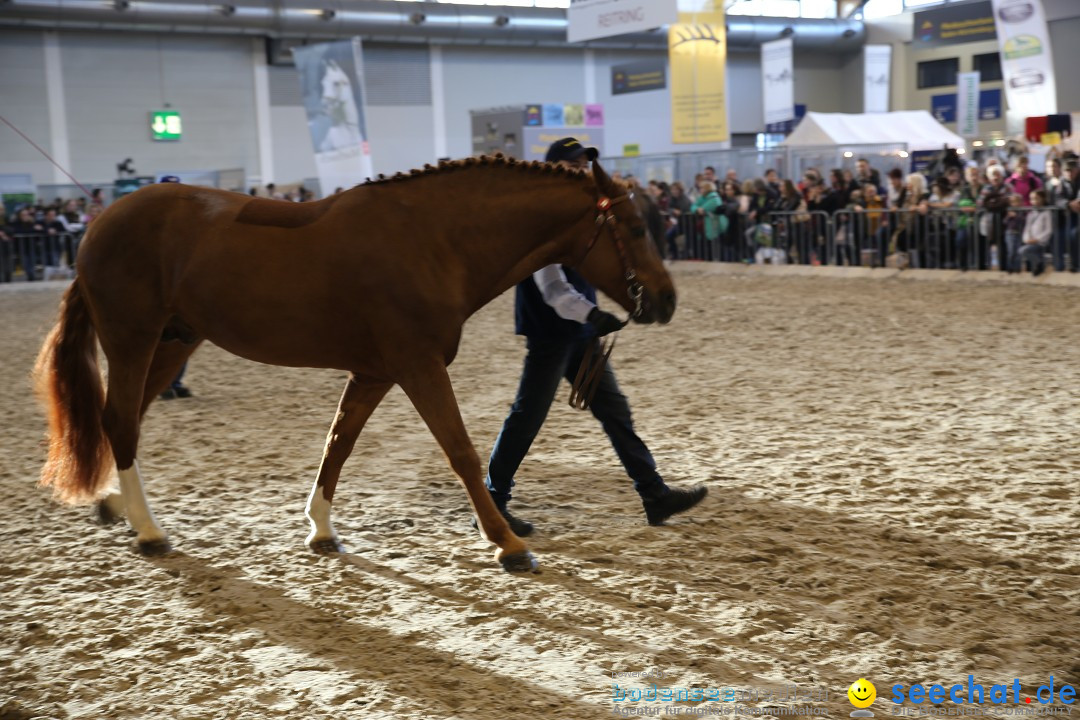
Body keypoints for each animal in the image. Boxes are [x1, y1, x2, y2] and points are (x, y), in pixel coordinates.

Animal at [31, 156, 673, 574]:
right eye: (635, 227)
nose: (665, 301)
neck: (432, 241)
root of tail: (100, 224)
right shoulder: (418, 366)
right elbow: (462, 451)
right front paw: (508, 545)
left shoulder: (376, 372)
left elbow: (339, 441)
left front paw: (320, 530)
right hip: (133, 340)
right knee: (121, 421)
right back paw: (150, 532)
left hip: (173, 343)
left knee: (125, 420)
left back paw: (117, 506)